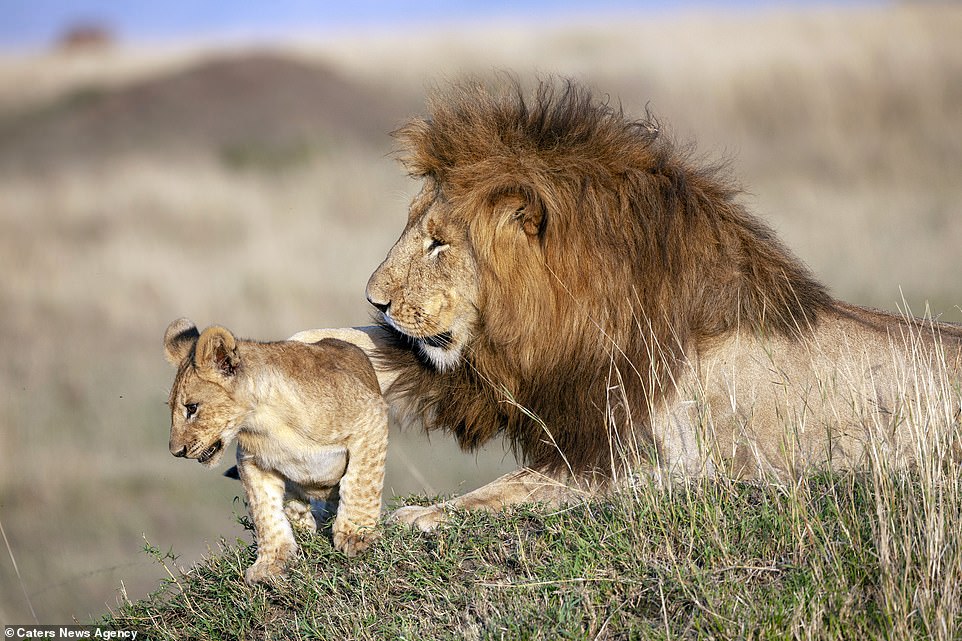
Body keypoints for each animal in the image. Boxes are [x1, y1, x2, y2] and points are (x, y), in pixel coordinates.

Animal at [292, 79, 960, 528]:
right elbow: (387, 356)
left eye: (438, 243)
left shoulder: (659, 463)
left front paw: (427, 516)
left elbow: (520, 485)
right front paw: (305, 353)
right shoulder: (526, 386)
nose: (375, 298)